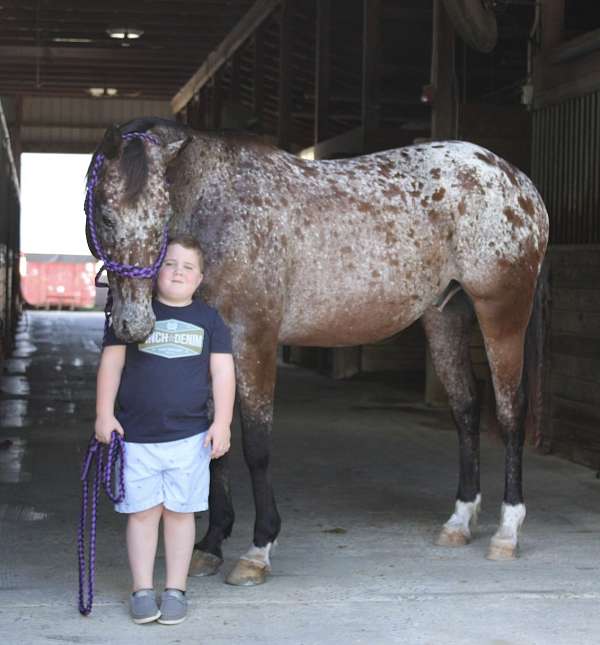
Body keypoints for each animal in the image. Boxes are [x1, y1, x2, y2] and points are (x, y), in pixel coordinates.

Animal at [86, 117, 549, 586]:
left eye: (162, 218)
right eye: (105, 216)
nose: (133, 324)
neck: (219, 204)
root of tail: (517, 182)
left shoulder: (254, 340)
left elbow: (256, 448)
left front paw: (259, 548)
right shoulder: (216, 354)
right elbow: (216, 448)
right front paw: (210, 544)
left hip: (502, 312)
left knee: (509, 413)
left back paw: (507, 531)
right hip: (446, 317)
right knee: (466, 409)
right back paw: (459, 520)